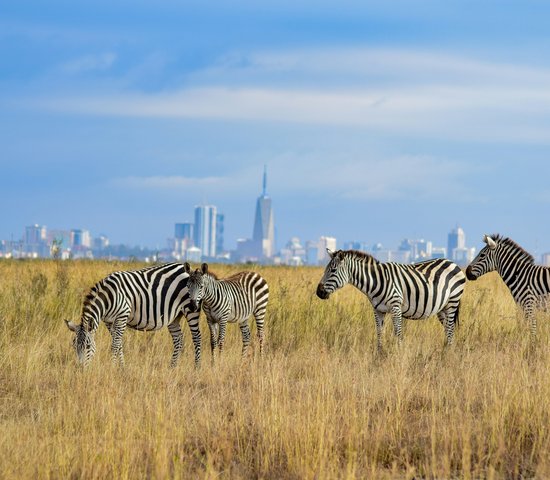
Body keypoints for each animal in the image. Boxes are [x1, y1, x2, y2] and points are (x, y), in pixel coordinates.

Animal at [64, 262, 203, 368]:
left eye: (88, 346)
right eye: (74, 346)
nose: (81, 368)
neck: (108, 298)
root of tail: (184, 267)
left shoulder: (122, 315)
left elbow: (115, 345)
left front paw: (112, 367)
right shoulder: (108, 321)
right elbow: (119, 344)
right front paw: (122, 368)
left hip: (191, 309)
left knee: (196, 337)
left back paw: (197, 368)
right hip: (174, 316)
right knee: (178, 339)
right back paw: (172, 367)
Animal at [316, 249, 468, 346]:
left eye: (333, 270)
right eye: (325, 270)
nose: (318, 292)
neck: (376, 281)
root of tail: (452, 262)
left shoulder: (396, 307)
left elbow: (398, 334)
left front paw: (398, 356)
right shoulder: (378, 310)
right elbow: (379, 334)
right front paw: (379, 356)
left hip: (452, 302)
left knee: (450, 330)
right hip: (442, 308)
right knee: (448, 330)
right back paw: (445, 352)